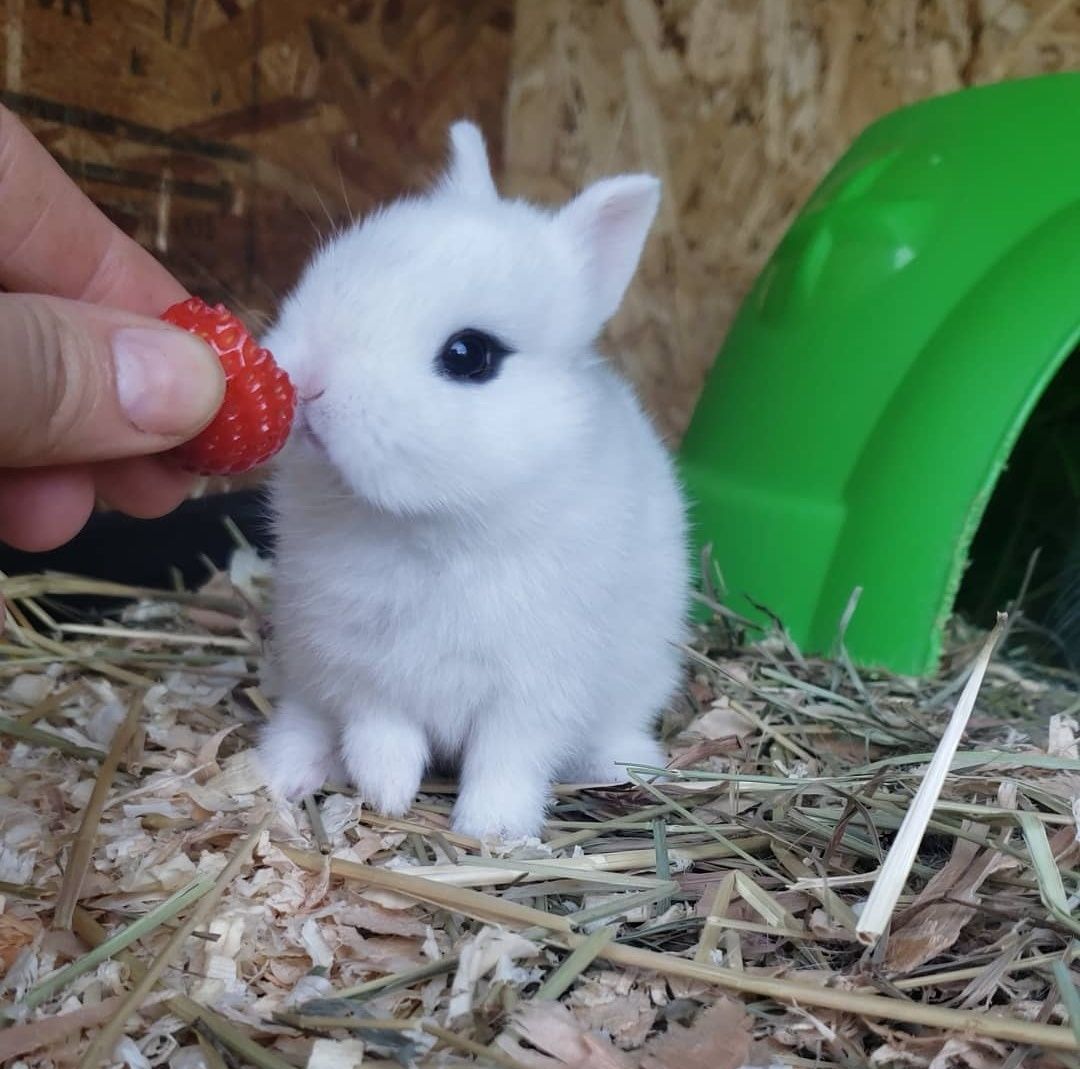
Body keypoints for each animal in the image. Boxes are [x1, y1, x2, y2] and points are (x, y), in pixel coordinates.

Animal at [257, 121, 686, 842]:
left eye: (469, 355)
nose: (309, 382)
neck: (430, 524)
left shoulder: (534, 688)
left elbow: (507, 756)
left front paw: (491, 829)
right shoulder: (361, 665)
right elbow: (382, 729)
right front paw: (389, 793)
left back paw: (630, 766)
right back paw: (283, 774)